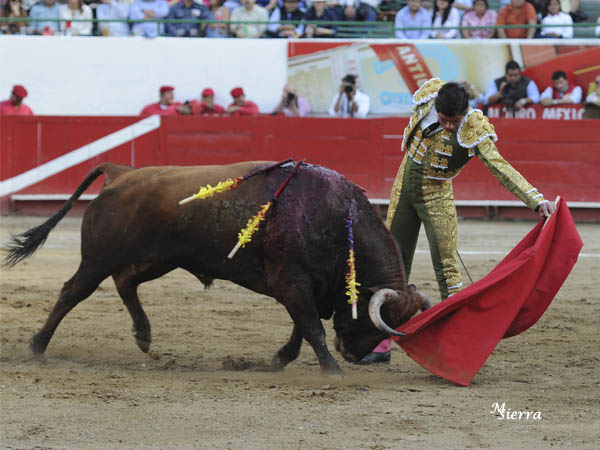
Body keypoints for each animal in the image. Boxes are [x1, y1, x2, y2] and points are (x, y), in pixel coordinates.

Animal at [2, 161, 428, 372]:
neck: (339, 217)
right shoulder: (293, 282)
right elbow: (311, 328)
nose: (354, 355)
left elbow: (302, 328)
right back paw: (38, 347)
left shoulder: (310, 287)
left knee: (126, 282)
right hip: (99, 257)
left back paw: (143, 335)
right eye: (374, 321)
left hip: (158, 259)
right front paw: (331, 371)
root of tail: (121, 173)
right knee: (73, 292)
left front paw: (280, 359)